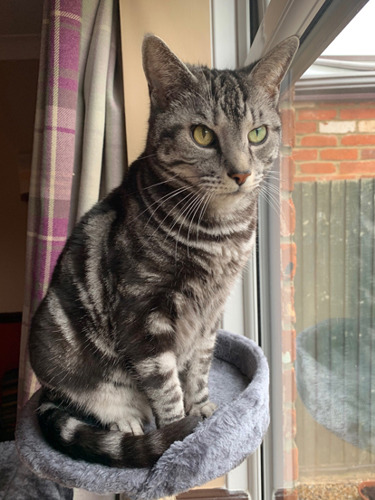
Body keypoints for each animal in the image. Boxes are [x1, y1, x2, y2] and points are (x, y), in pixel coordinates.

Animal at [28, 33, 300, 466]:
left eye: (257, 134)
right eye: (202, 134)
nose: (241, 173)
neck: (221, 235)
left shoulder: (210, 314)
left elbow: (199, 369)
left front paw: (204, 413)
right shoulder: (144, 315)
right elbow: (166, 386)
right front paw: (180, 438)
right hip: (56, 351)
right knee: (87, 399)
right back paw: (125, 420)